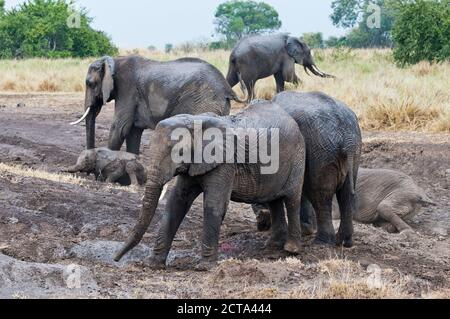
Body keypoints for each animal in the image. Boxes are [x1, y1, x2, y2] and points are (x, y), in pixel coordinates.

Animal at [71, 55, 246, 156]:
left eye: (90, 83)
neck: (114, 60)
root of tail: (227, 89)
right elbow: (133, 131)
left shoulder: (127, 88)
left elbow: (121, 127)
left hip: (204, 102)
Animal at [114, 100, 308, 270]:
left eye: (180, 152)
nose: (116, 259)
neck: (195, 121)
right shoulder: (194, 163)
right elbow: (176, 202)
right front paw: (153, 264)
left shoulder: (225, 162)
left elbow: (214, 205)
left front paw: (204, 267)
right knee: (274, 200)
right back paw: (273, 245)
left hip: (297, 156)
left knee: (292, 199)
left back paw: (291, 249)